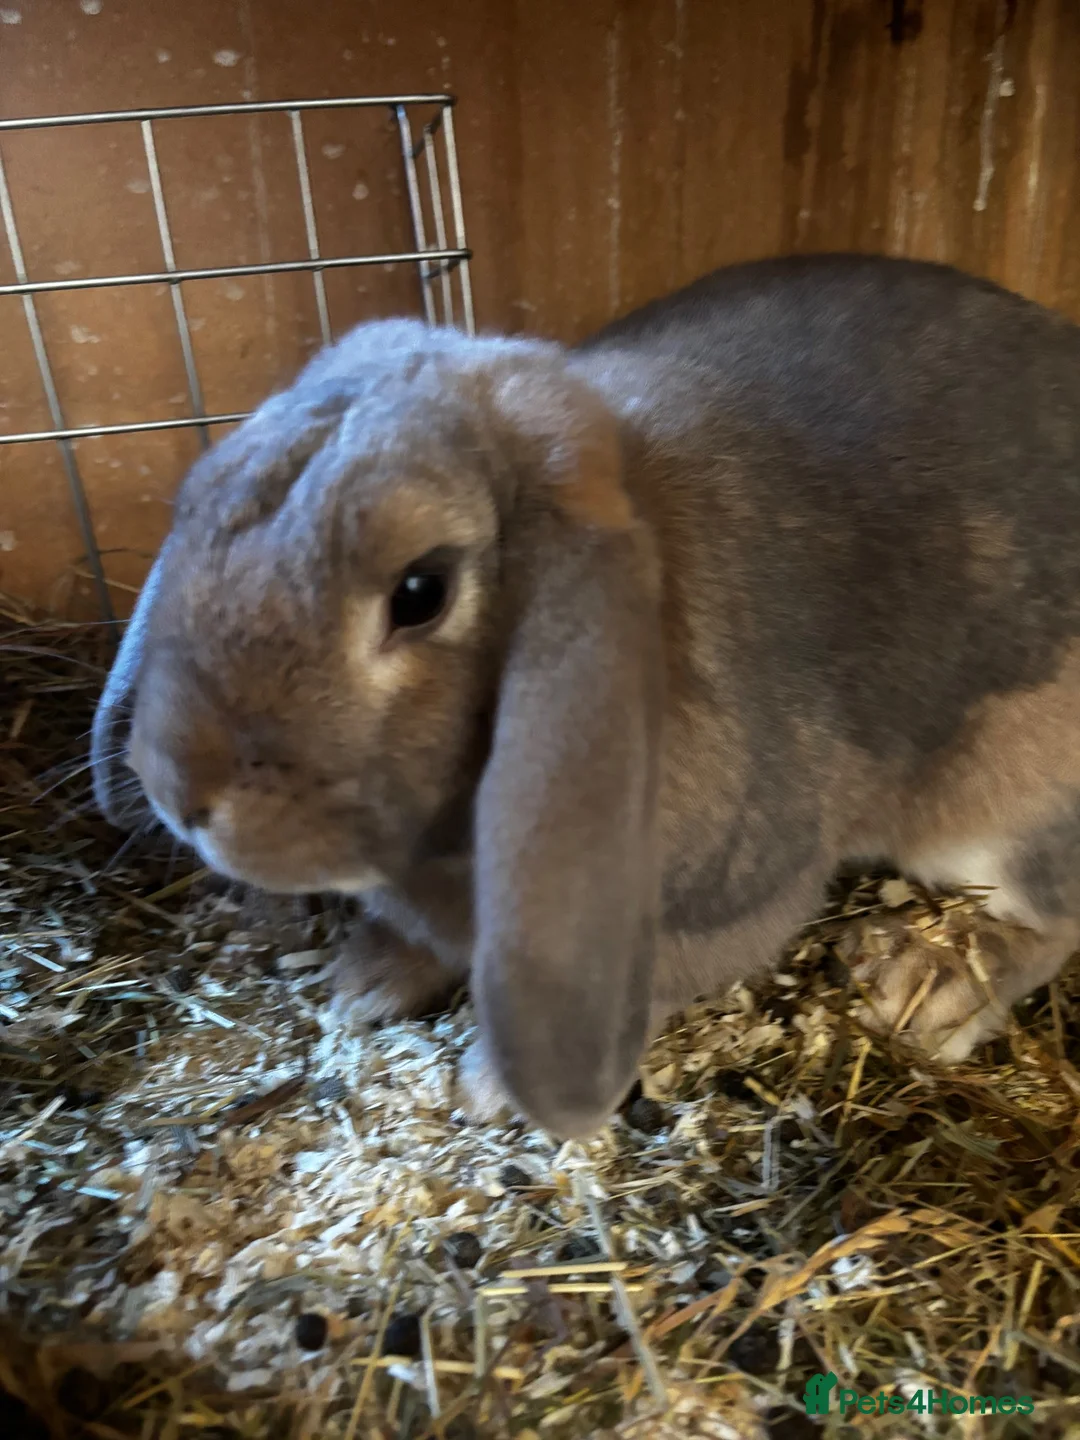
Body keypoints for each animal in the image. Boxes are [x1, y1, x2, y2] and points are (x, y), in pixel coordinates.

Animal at [91, 253, 1080, 1139]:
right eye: (195, 502)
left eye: (420, 592)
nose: (179, 792)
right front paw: (359, 987)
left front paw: (486, 1089)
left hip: (1012, 814)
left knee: (1049, 919)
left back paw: (926, 987)